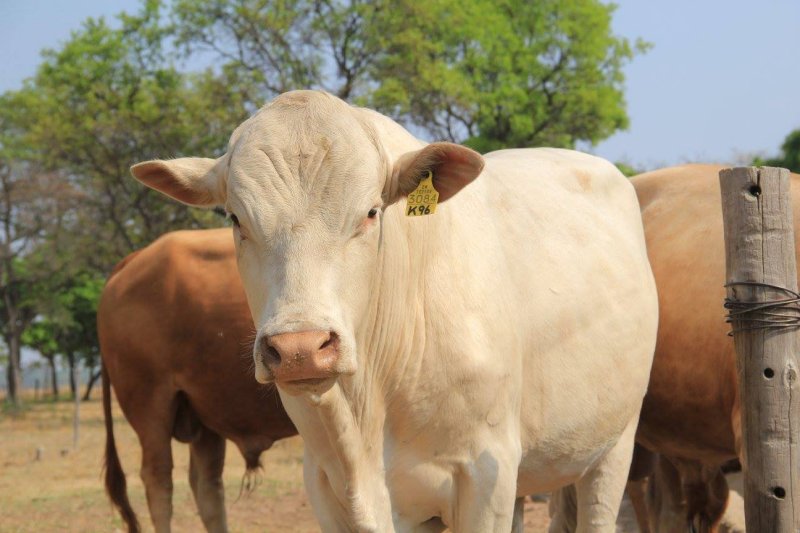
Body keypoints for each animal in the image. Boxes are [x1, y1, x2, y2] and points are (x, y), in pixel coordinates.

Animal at [130, 90, 659, 532]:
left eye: (370, 212)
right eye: (236, 219)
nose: (301, 349)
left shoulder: (485, 475)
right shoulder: (327, 483)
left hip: (614, 445)